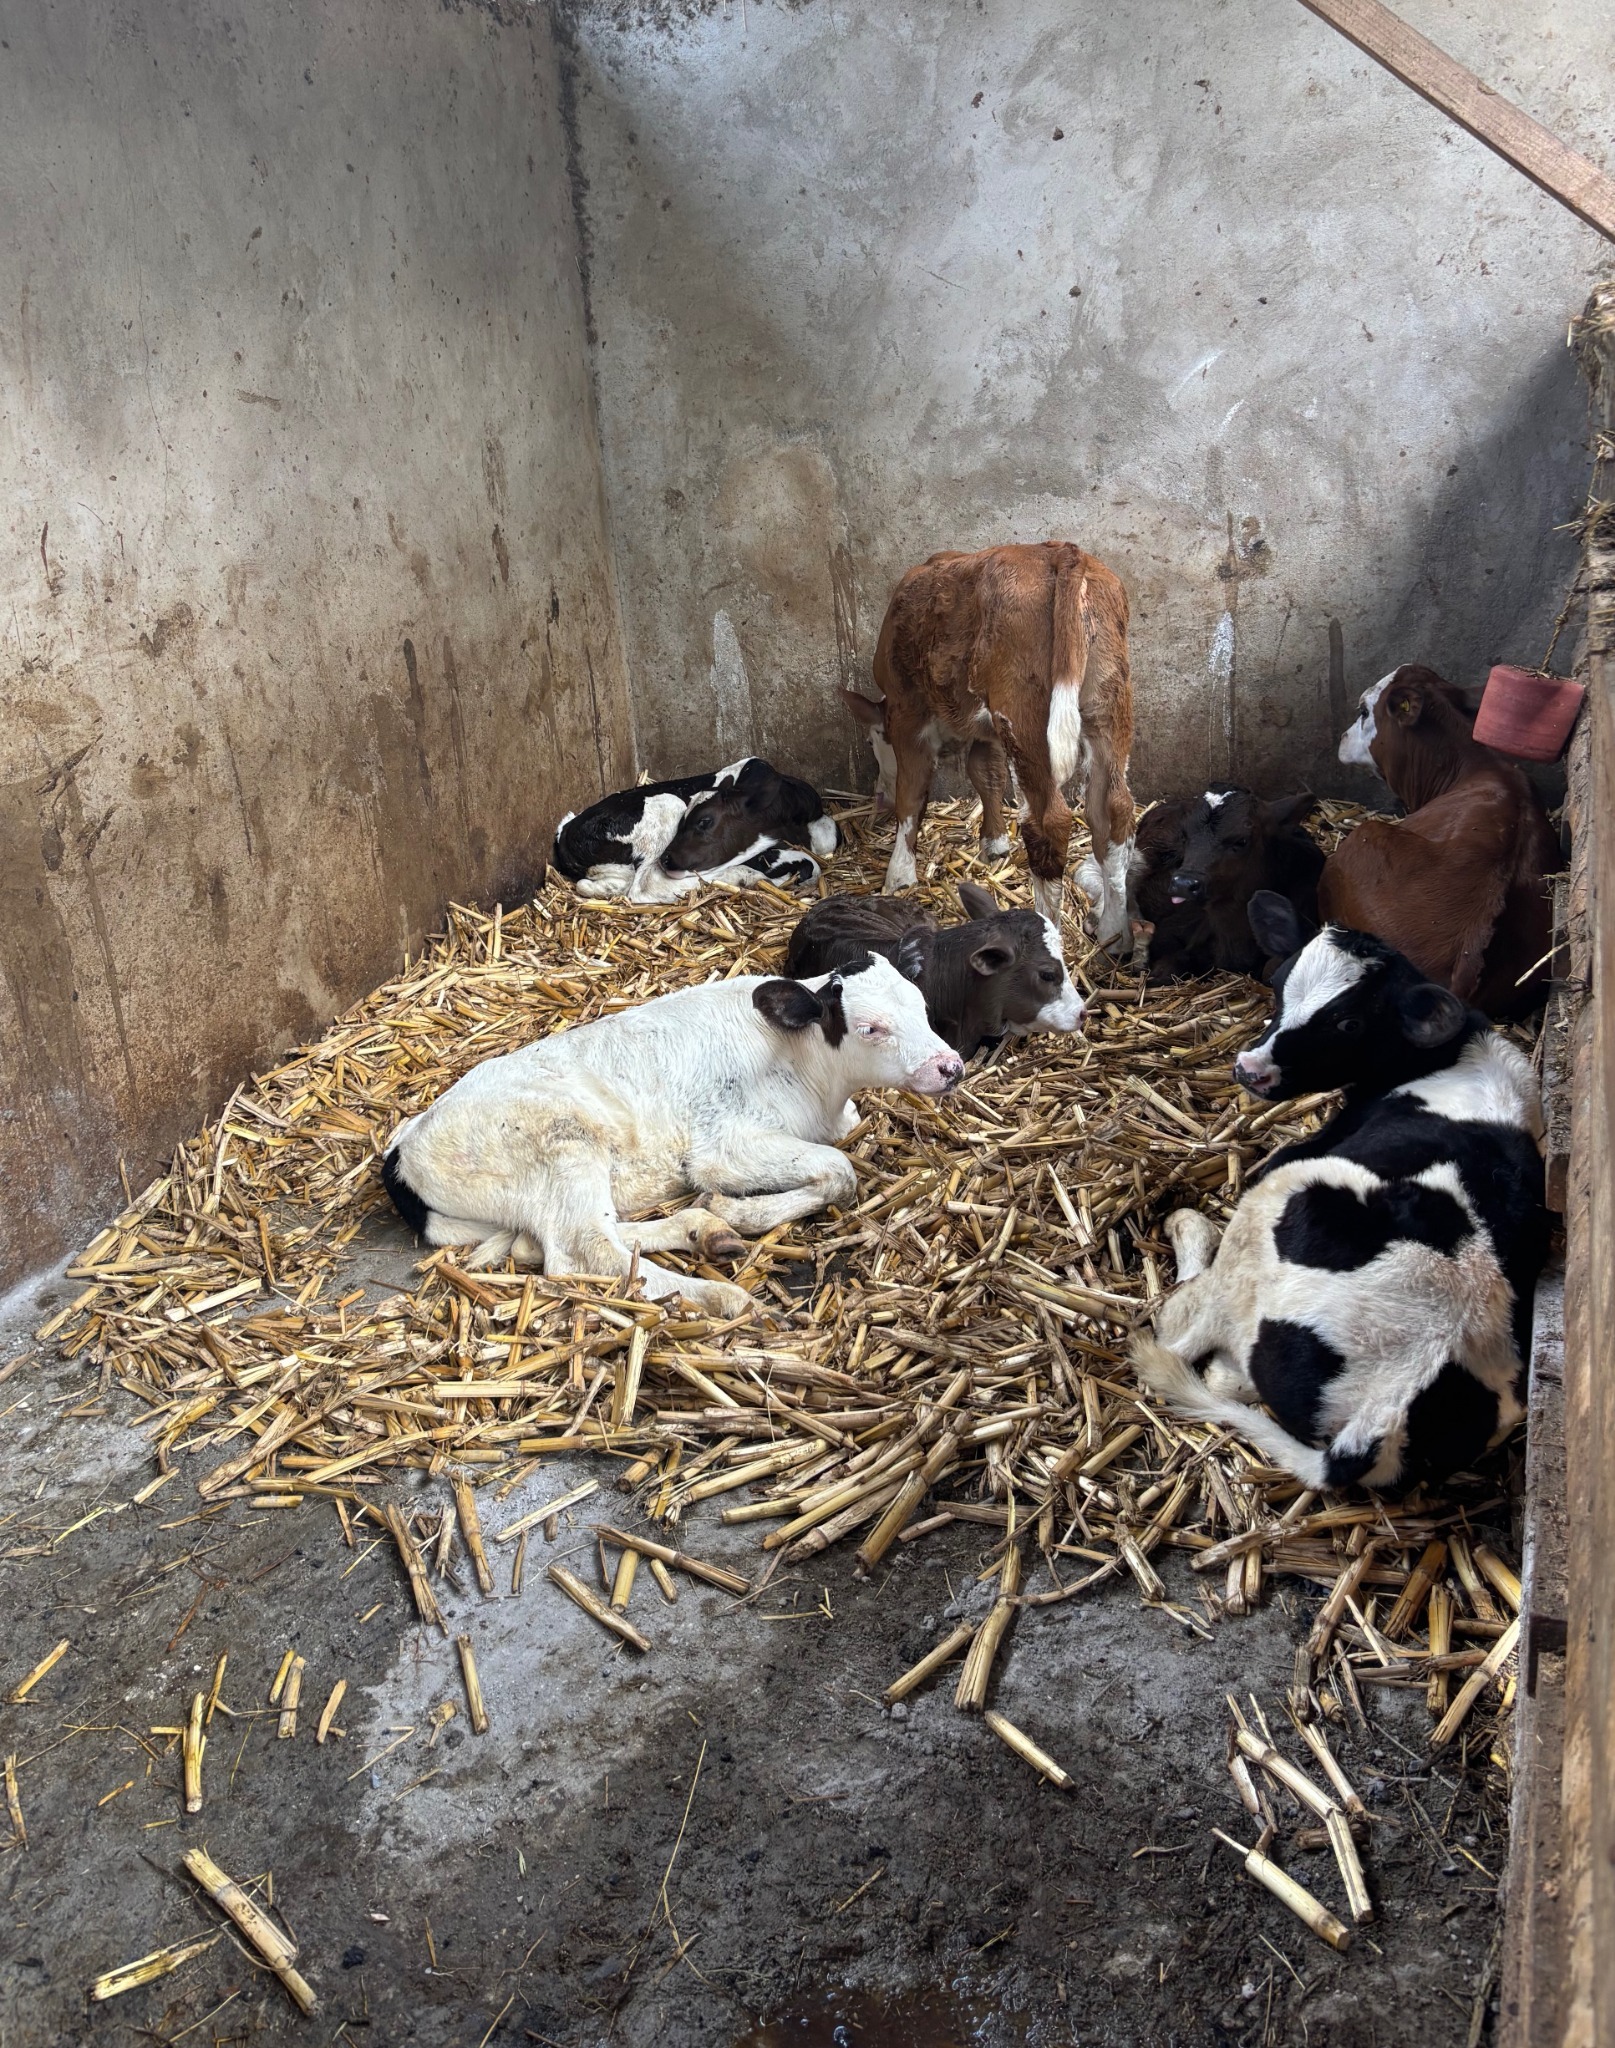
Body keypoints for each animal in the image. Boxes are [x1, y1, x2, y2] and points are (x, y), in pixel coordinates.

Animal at [381, 951, 964, 1317]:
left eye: (923, 1007)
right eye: (871, 1028)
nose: (950, 1066)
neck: (817, 1080)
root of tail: (402, 1149)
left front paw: (725, 1215)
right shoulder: (722, 1149)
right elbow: (839, 1171)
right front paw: (739, 1211)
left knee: (555, 1240)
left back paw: (704, 1230)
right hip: (563, 1141)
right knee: (584, 1251)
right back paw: (723, 1297)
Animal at [552, 758, 839, 904]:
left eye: (704, 822)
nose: (668, 859)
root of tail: (567, 833)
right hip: (668, 803)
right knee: (644, 886)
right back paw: (741, 876)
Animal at [842, 541, 1136, 949]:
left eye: (873, 741)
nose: (878, 797)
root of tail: (1060, 550)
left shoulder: (907, 712)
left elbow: (912, 794)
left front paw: (899, 876)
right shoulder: (987, 730)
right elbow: (986, 774)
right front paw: (994, 844)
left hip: (1024, 715)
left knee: (1050, 822)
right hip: (1107, 703)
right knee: (1113, 809)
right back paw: (1113, 933)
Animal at [1130, 892, 1549, 1494]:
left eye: (1350, 1023)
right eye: (1279, 984)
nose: (1251, 1070)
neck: (1456, 1055)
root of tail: (1384, 1412)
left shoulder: (1297, 1157)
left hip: (1275, 1211)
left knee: (1184, 1327)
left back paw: (1183, 1234)